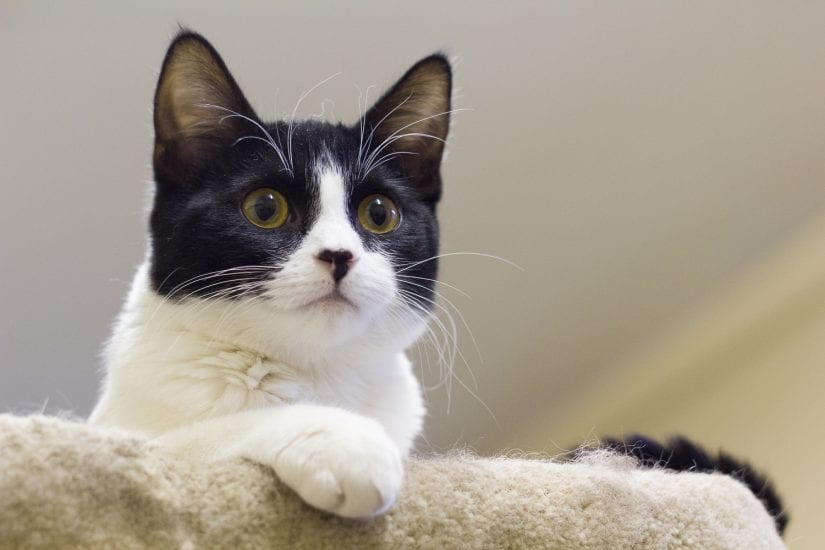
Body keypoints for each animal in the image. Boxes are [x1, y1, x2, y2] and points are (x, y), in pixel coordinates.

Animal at [90, 31, 450, 520]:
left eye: (379, 213)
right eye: (265, 208)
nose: (339, 255)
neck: (312, 368)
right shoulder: (123, 435)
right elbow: (205, 434)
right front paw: (343, 438)